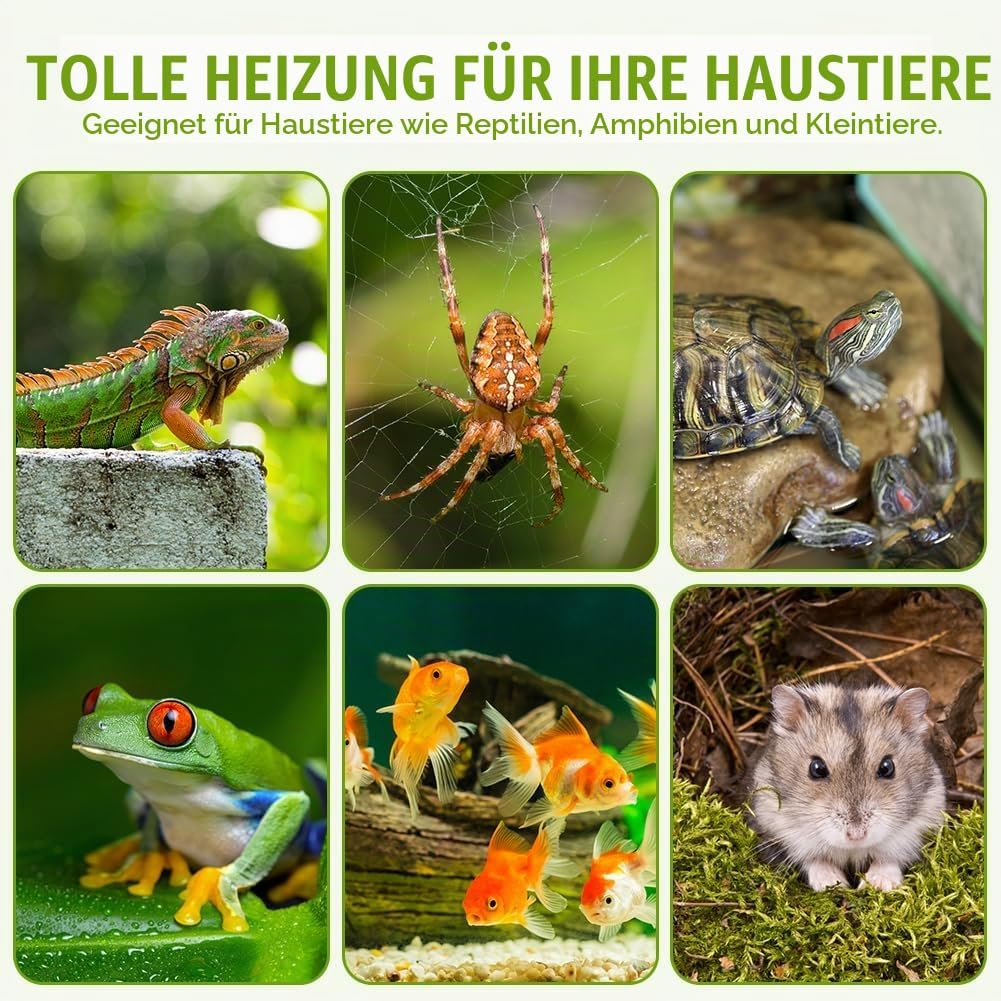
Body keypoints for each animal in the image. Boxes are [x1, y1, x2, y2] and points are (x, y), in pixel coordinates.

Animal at [746, 682, 946, 891]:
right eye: (816, 768)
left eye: (887, 767)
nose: (856, 836)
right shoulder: (778, 826)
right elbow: (814, 860)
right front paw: (833, 883)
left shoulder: (918, 825)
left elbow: (889, 858)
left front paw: (878, 884)